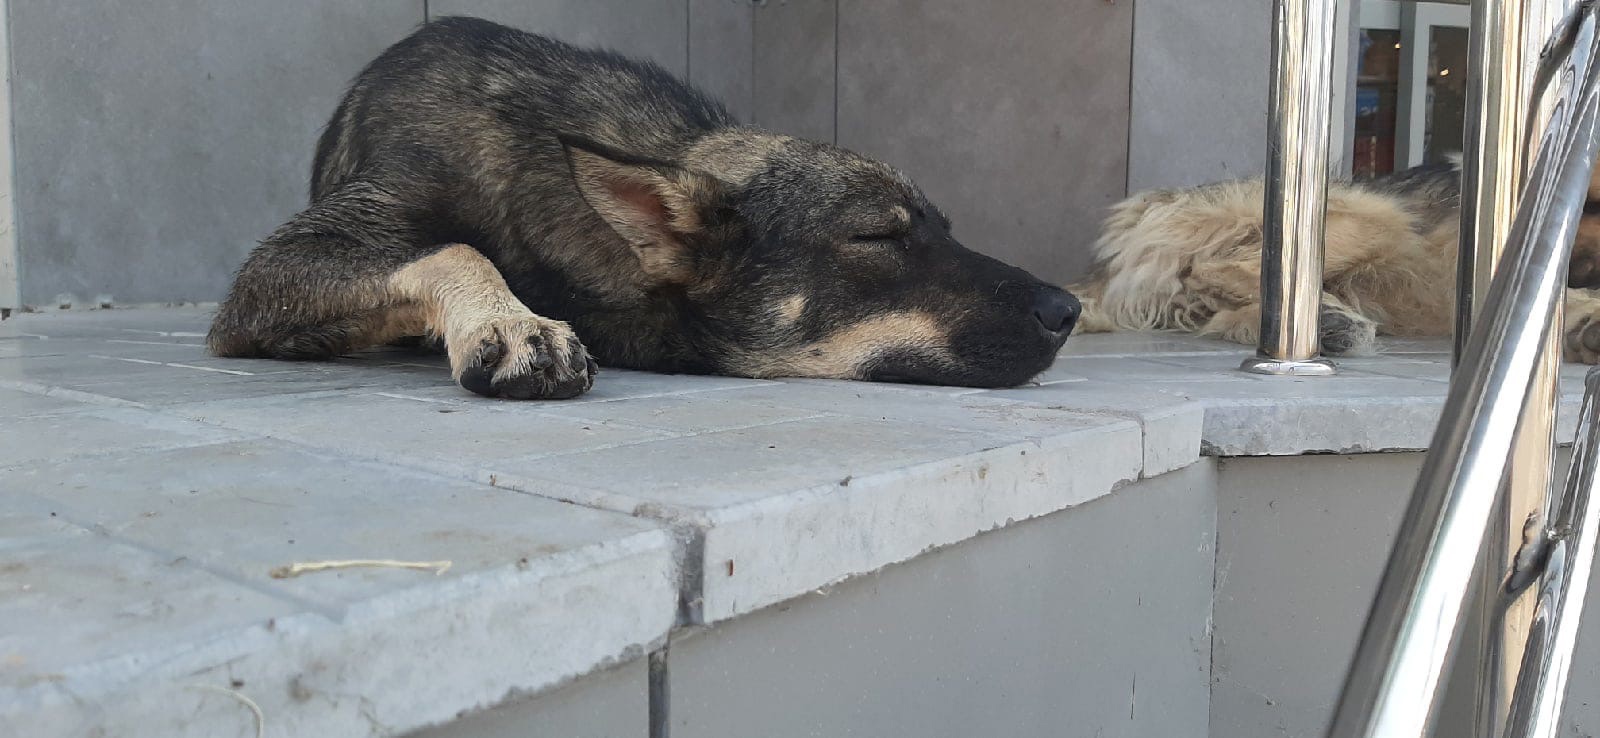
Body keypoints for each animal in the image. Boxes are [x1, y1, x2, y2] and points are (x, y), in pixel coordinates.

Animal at [206, 17, 1081, 397]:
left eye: (945, 231)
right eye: (877, 237)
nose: (1070, 308)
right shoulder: (277, 269)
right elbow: (455, 247)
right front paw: (512, 320)